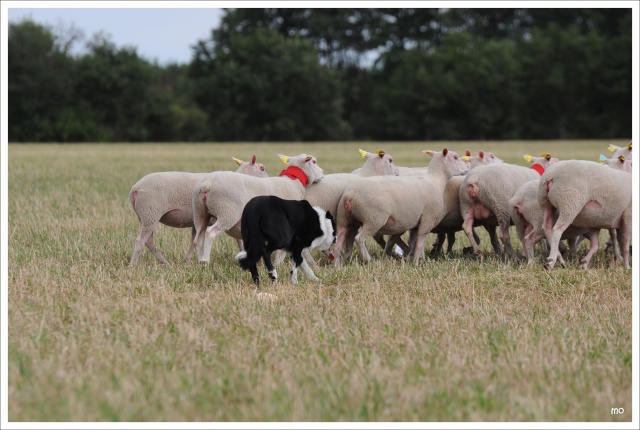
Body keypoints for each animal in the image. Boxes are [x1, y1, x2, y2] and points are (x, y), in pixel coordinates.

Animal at [127, 156, 268, 268]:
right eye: (262, 168)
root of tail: (135, 188)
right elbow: (238, 240)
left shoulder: (199, 221)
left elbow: (194, 240)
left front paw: (187, 260)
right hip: (150, 212)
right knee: (141, 240)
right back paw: (133, 265)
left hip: (144, 216)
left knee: (149, 241)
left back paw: (165, 263)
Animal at [192, 153, 324, 264]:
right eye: (314, 161)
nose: (323, 174)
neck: (293, 181)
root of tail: (207, 184)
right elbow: (281, 252)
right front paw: (278, 265)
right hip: (227, 211)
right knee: (210, 233)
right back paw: (205, 261)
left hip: (200, 212)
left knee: (198, 238)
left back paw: (199, 262)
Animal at [332, 150, 468, 266]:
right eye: (455, 157)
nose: (466, 169)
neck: (436, 181)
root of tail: (350, 196)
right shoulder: (427, 220)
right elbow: (419, 243)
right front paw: (417, 263)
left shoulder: (416, 223)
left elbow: (414, 242)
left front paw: (414, 259)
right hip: (374, 219)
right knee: (359, 238)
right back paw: (368, 260)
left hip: (344, 219)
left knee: (338, 242)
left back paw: (337, 264)